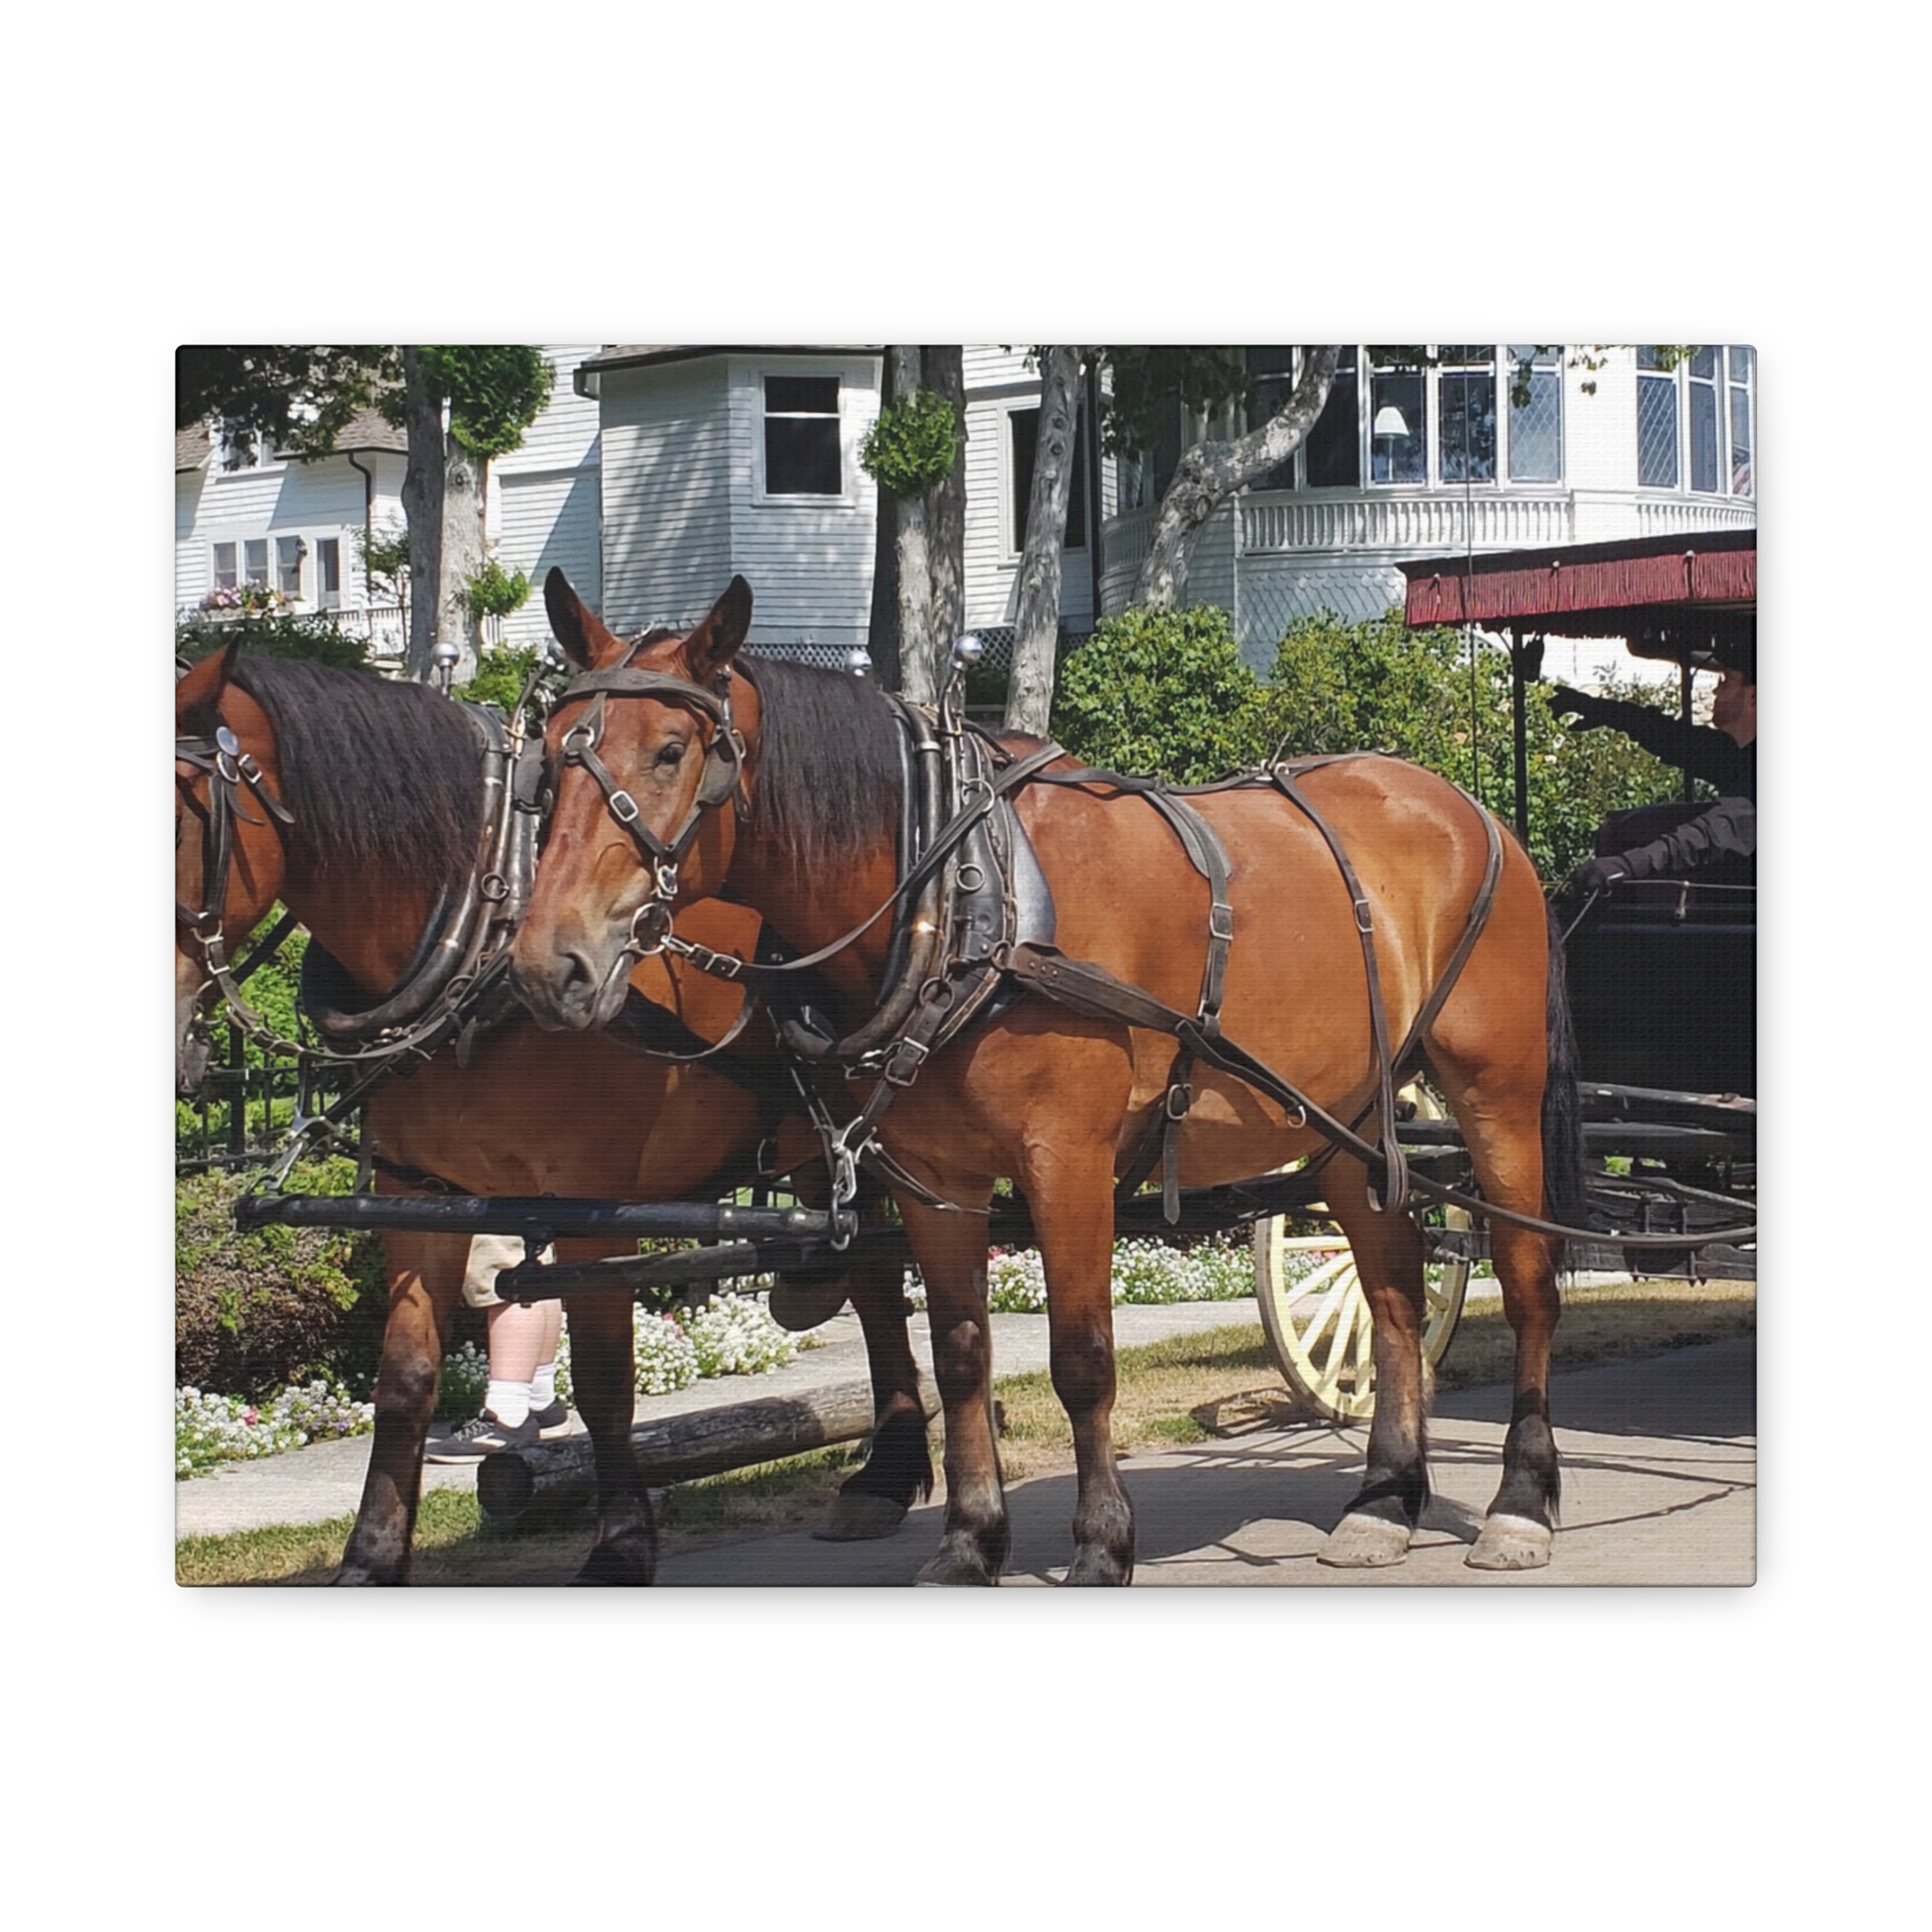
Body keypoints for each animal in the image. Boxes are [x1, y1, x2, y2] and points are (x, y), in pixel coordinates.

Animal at [175, 642, 933, 1585]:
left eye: (181, 817)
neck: (484, 940)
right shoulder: (416, 1194)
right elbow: (405, 1380)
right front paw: (373, 1555)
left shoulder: (588, 1203)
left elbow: (605, 1376)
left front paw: (622, 1542)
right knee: (868, 1268)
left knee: (891, 1278)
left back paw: (890, 1468)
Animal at [510, 571, 1586, 1586]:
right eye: (551, 756)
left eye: (669, 752)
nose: (549, 963)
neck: (965, 897)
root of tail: (1465, 805)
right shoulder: (933, 1181)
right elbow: (960, 1354)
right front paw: (969, 1541)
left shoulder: (1064, 1162)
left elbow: (1082, 1359)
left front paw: (1102, 1542)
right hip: (1343, 1115)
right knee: (1394, 1287)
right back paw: (1384, 1498)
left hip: (1494, 1092)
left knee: (1527, 1278)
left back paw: (1518, 1503)